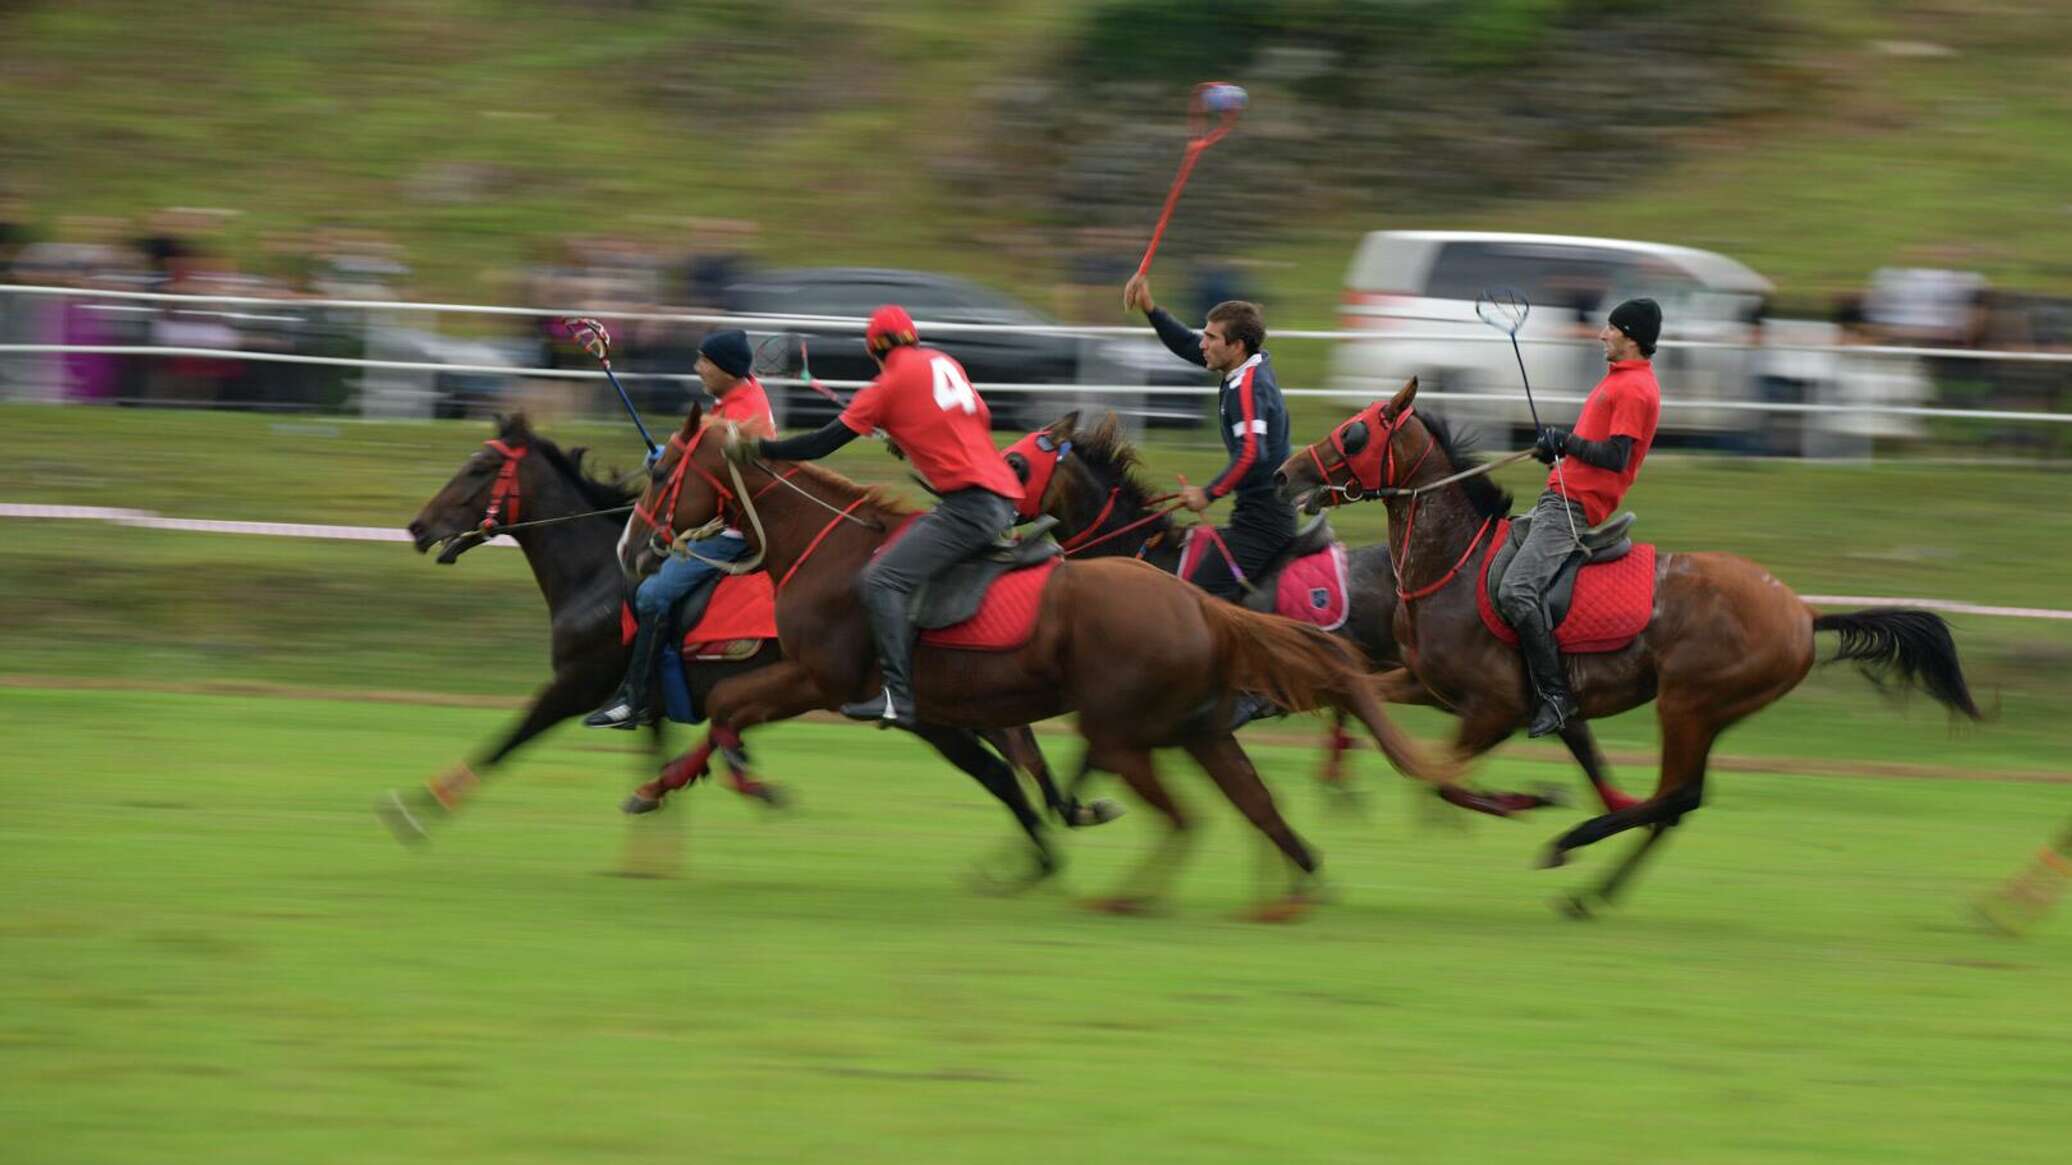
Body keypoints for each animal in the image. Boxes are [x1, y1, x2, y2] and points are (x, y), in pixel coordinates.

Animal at [621, 404, 1533, 912]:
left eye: (663, 474)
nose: (633, 546)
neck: (833, 549)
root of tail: (1202, 606)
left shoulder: (827, 677)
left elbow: (730, 708)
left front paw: (745, 782)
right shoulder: (953, 708)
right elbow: (1021, 769)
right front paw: (659, 788)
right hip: (1202, 726)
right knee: (1270, 796)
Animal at [1268, 377, 1980, 912]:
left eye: (1356, 431)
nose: (1282, 473)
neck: (1457, 565)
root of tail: (1804, 613)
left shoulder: (1496, 708)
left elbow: (1436, 775)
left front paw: (1527, 800)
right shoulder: (1428, 685)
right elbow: (1355, 691)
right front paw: (1336, 772)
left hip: (1687, 703)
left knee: (1675, 797)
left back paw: (1573, 843)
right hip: (1710, 712)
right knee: (1674, 804)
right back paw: (1593, 889)